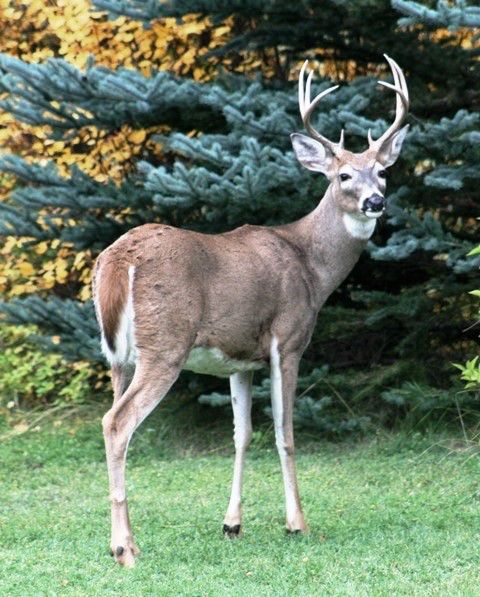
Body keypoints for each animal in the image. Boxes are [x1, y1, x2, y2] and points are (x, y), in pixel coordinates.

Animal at [93, 54, 408, 564]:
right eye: (343, 175)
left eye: (382, 172)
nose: (375, 201)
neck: (311, 267)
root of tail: (118, 259)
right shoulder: (289, 339)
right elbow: (285, 431)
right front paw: (297, 523)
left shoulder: (239, 359)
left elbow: (241, 436)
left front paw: (232, 523)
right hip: (165, 343)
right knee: (117, 423)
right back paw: (126, 549)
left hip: (116, 356)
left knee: (113, 417)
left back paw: (119, 541)